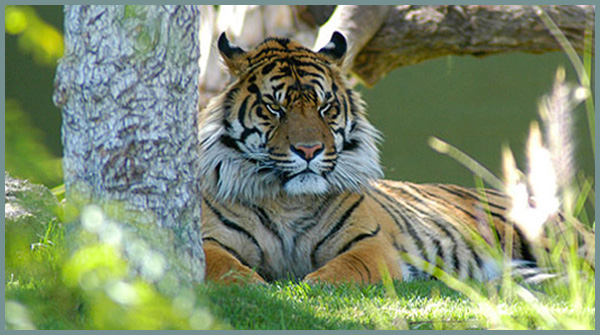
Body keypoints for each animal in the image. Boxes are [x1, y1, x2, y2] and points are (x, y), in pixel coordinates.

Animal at [198, 30, 592, 284]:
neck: (288, 201)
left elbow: (331, 277)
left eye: (325, 107)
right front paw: (257, 288)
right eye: (275, 108)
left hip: (553, 239)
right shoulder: (209, 241)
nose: (309, 151)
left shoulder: (369, 245)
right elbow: (227, 273)